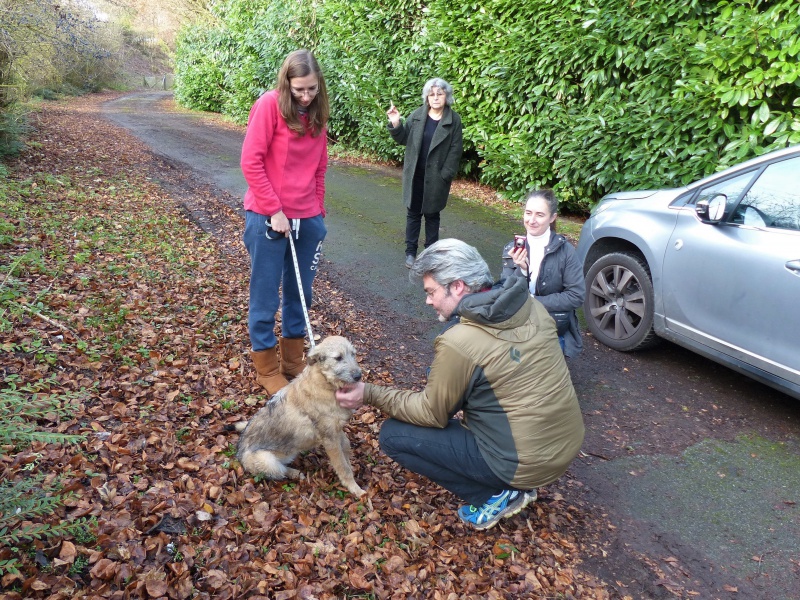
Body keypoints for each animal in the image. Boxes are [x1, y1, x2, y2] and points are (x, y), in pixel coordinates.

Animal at [230, 338, 368, 496]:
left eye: (353, 354)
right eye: (338, 358)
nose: (358, 376)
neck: (325, 382)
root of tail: (238, 451)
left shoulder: (336, 430)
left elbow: (346, 445)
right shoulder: (330, 439)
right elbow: (343, 467)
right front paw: (355, 489)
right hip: (267, 460)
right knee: (278, 471)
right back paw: (294, 473)